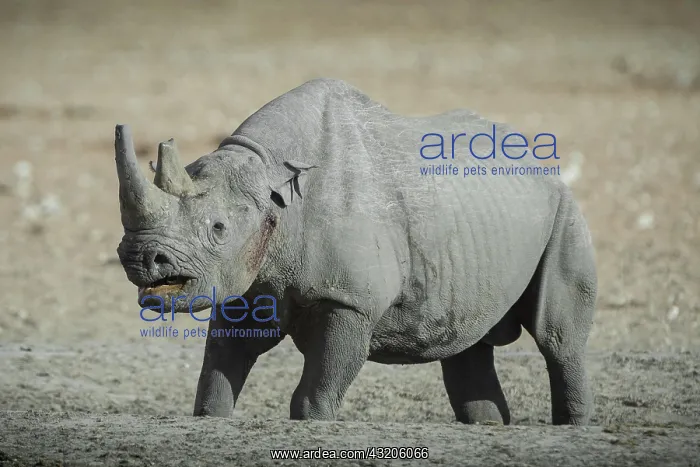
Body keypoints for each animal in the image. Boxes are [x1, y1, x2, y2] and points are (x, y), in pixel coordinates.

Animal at [115, 78, 597, 425]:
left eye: (218, 229)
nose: (139, 258)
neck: (269, 180)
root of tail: (539, 162)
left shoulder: (349, 299)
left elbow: (315, 390)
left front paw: (315, 423)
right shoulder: (249, 283)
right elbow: (217, 376)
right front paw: (210, 418)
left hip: (564, 209)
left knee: (558, 339)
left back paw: (573, 426)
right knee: (467, 341)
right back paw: (488, 425)